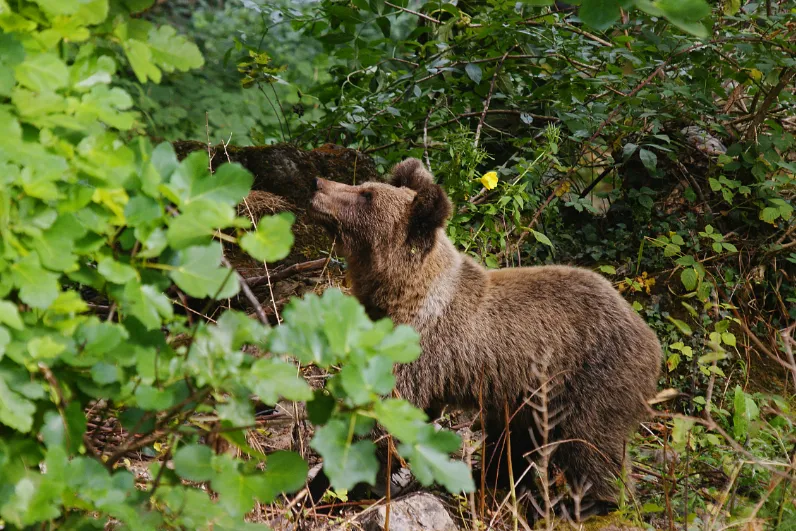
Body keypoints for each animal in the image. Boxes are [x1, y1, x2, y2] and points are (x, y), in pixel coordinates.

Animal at [308, 159, 664, 520]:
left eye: (366, 195)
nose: (317, 184)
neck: (400, 294)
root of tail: (651, 340)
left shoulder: (417, 350)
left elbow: (379, 419)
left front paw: (325, 487)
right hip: (528, 397)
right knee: (517, 439)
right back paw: (492, 476)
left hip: (591, 377)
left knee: (590, 441)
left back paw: (585, 502)